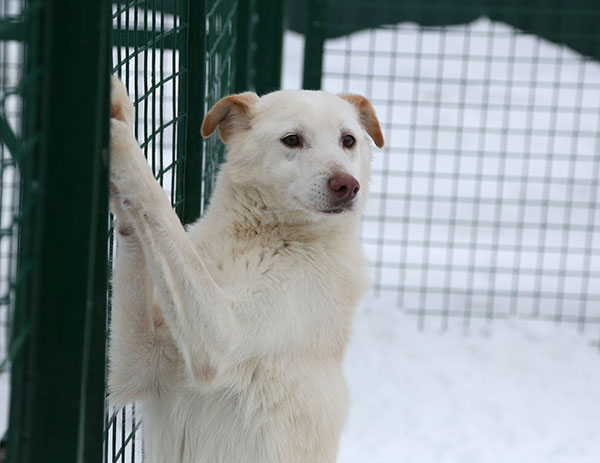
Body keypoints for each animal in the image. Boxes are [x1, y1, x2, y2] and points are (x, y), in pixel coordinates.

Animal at [108, 77, 384, 463]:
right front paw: (120, 111)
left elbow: (156, 202)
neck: (263, 240)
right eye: (292, 140)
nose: (347, 185)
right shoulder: (138, 361)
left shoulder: (220, 342)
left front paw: (119, 139)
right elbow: (134, 222)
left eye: (348, 140)